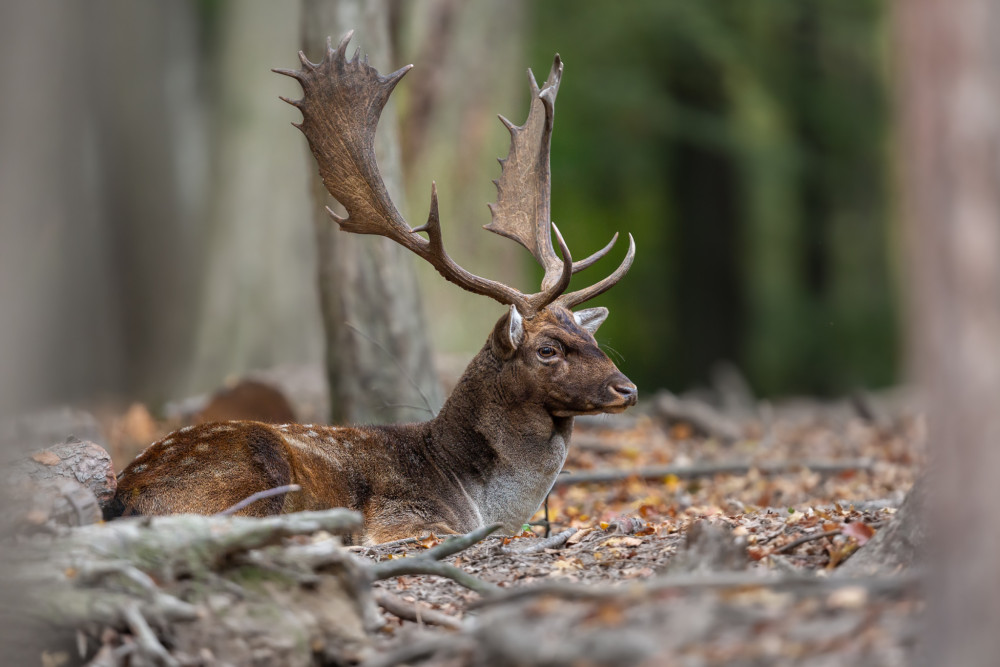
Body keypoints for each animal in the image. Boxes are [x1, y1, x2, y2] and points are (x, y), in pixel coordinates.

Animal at [107, 31, 640, 544]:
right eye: (548, 349)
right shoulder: (405, 515)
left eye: (591, 338)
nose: (627, 388)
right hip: (253, 470)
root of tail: (123, 494)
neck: (474, 496)